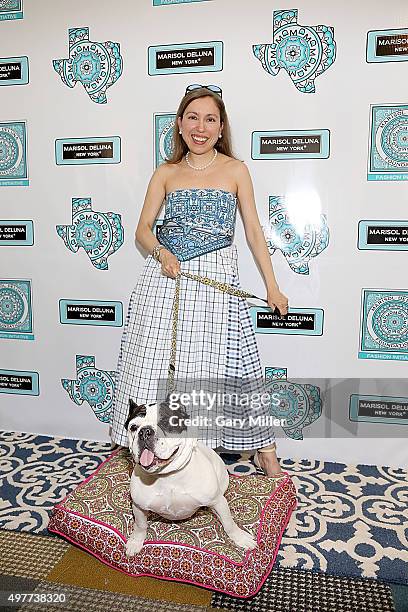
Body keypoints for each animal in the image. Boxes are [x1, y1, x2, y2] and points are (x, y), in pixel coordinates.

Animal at [125, 396, 258, 556]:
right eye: (133, 427)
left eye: (166, 422)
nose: (145, 431)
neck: (167, 476)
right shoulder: (138, 506)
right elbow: (140, 525)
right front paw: (135, 541)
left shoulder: (218, 501)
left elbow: (228, 522)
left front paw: (240, 538)